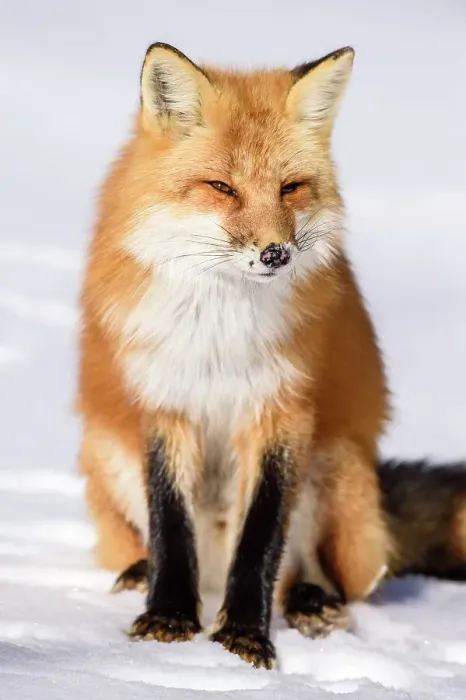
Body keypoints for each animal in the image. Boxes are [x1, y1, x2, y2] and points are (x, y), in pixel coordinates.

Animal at [78, 42, 466, 670]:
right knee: (145, 545)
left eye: (290, 188)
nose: (276, 253)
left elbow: (261, 539)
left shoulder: (283, 410)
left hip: (339, 469)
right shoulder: (166, 403)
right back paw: (139, 574)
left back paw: (312, 602)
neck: (220, 332)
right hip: (104, 447)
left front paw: (243, 638)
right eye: (221, 187)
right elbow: (171, 527)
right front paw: (167, 620)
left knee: (317, 573)